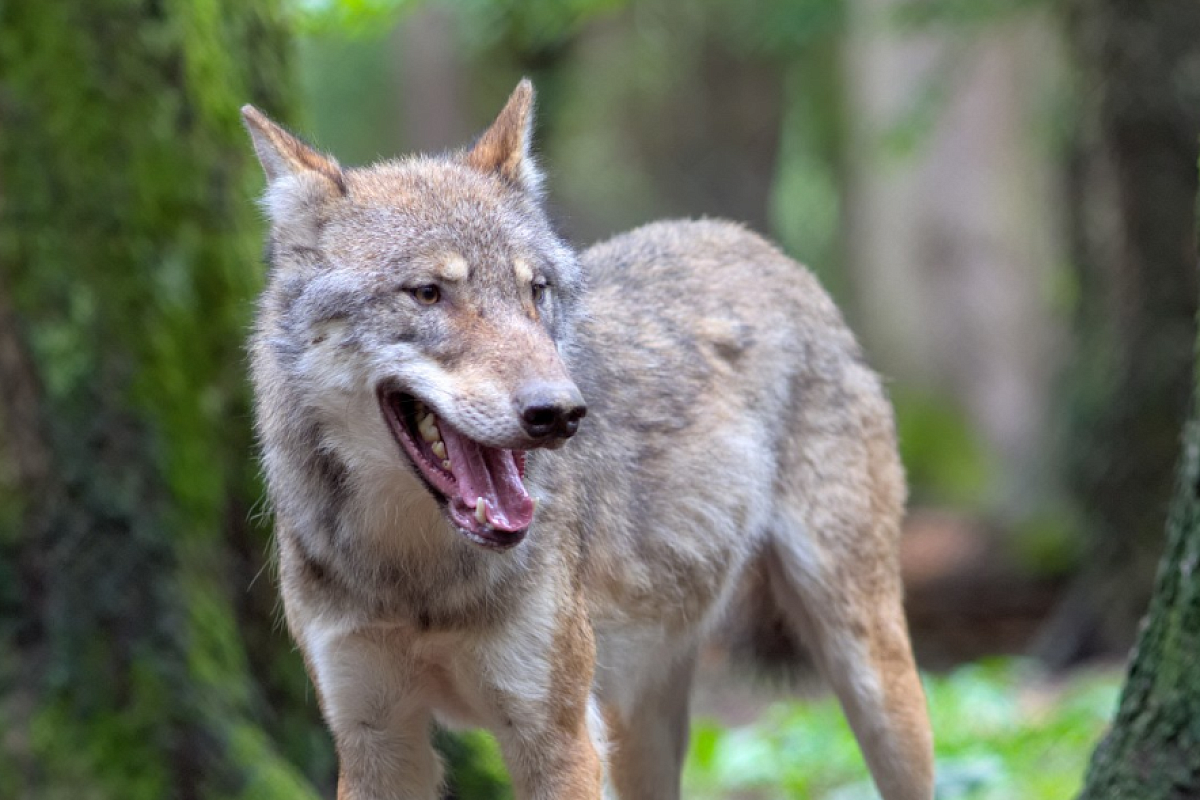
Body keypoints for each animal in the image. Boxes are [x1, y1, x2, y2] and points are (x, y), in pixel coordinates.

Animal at [243, 76, 931, 800]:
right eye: (428, 293)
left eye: (535, 290)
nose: (561, 412)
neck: (417, 579)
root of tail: (751, 242)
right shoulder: (373, 739)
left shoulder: (558, 738)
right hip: (641, 722)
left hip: (872, 674)